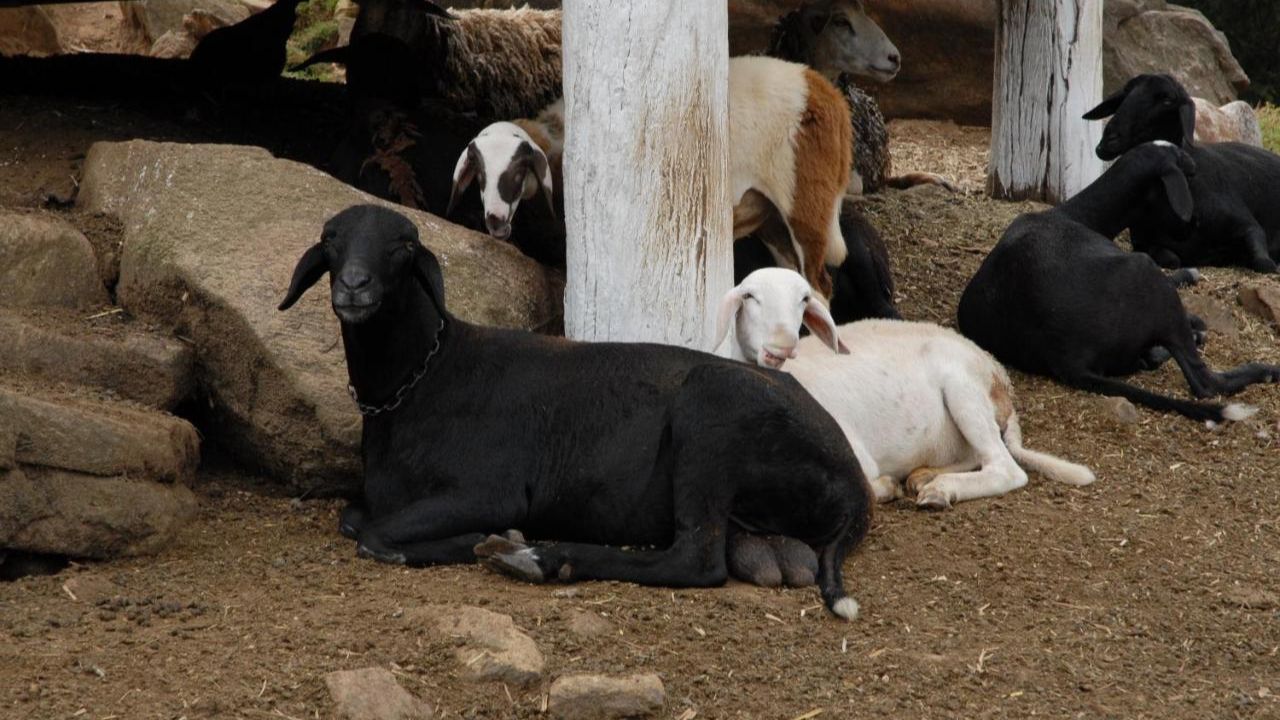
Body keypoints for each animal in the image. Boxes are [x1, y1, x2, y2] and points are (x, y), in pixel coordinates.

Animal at [277, 202, 880, 617]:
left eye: (403, 246)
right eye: (331, 240)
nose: (354, 287)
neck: (423, 378)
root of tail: (852, 476)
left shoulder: (488, 489)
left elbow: (377, 536)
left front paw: (495, 540)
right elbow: (356, 519)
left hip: (710, 423)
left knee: (694, 560)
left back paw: (547, 559)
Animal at [957, 140, 1274, 422]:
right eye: (1190, 178)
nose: (1195, 221)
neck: (1077, 213)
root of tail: (1067, 357)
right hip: (1148, 275)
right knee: (1205, 382)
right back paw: (1265, 369)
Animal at [1085, 73, 1280, 271]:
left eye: (1167, 100)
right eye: (1125, 94)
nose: (1108, 140)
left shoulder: (1246, 223)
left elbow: (1263, 262)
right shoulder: (1145, 243)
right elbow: (1172, 260)